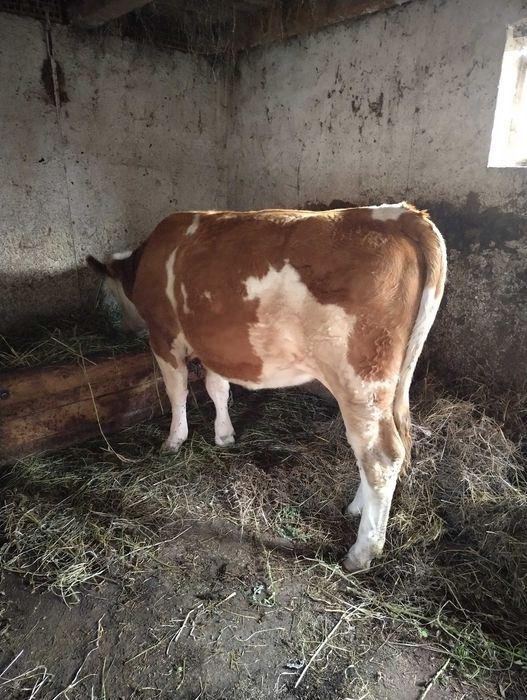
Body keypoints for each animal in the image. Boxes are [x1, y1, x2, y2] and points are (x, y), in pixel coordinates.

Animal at [87, 203, 446, 572]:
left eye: (105, 293)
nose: (116, 329)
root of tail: (400, 214)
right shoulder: (215, 345)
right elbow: (217, 387)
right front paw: (224, 435)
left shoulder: (164, 336)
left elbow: (177, 391)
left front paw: (174, 440)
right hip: (387, 384)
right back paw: (356, 510)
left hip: (361, 380)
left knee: (380, 457)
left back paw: (361, 552)